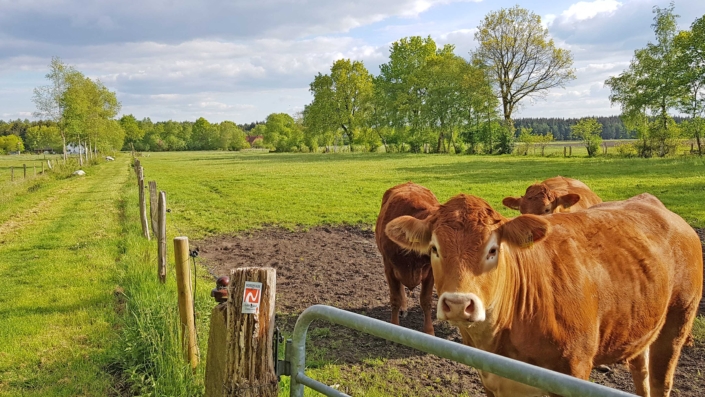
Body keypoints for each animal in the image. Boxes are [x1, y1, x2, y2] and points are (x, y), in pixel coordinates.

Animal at [376, 183, 438, 334]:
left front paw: (429, 331)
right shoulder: (389, 268)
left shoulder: (431, 272)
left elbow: (426, 301)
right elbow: (395, 298)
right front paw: (394, 327)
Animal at [388, 193, 700, 394]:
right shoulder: (491, 380)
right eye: (434, 249)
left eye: (493, 250)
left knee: (661, 380)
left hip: (677, 322)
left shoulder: (574, 370)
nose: (457, 303)